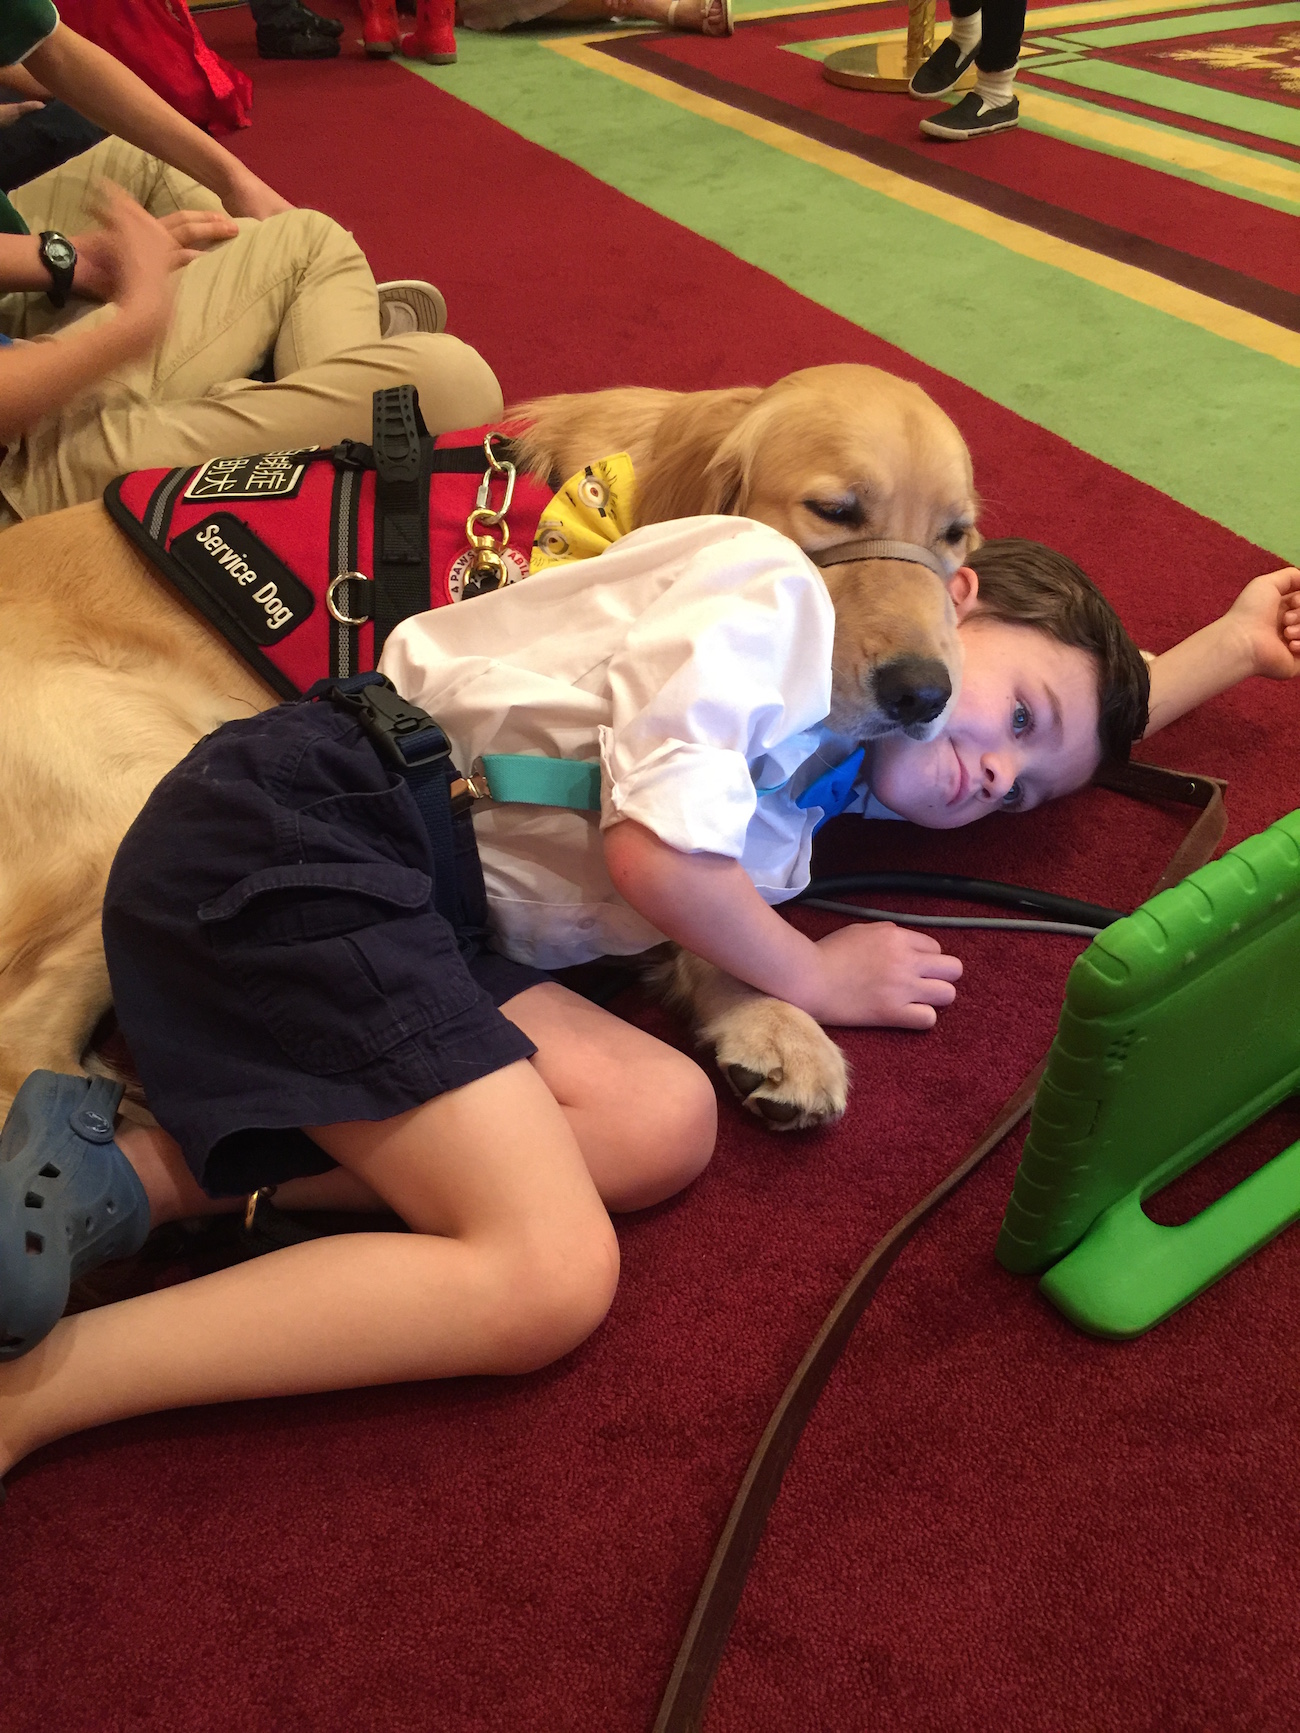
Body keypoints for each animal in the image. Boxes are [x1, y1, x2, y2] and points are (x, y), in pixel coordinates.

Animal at [0, 358, 977, 1129]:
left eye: (956, 534)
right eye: (835, 509)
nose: (924, 692)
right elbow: (688, 890)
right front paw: (787, 1014)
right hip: (141, 790)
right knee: (22, 1039)